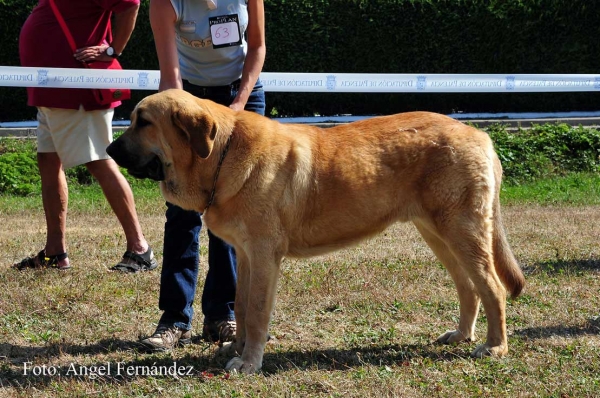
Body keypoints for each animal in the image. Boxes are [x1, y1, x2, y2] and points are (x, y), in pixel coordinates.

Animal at [108, 89, 524, 374]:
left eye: (144, 122)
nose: (109, 151)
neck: (221, 154)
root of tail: (480, 135)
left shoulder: (264, 255)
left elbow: (256, 311)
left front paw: (249, 362)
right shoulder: (245, 255)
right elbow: (240, 305)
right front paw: (237, 348)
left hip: (462, 231)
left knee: (492, 287)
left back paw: (494, 347)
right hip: (438, 234)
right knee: (469, 287)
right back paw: (462, 335)